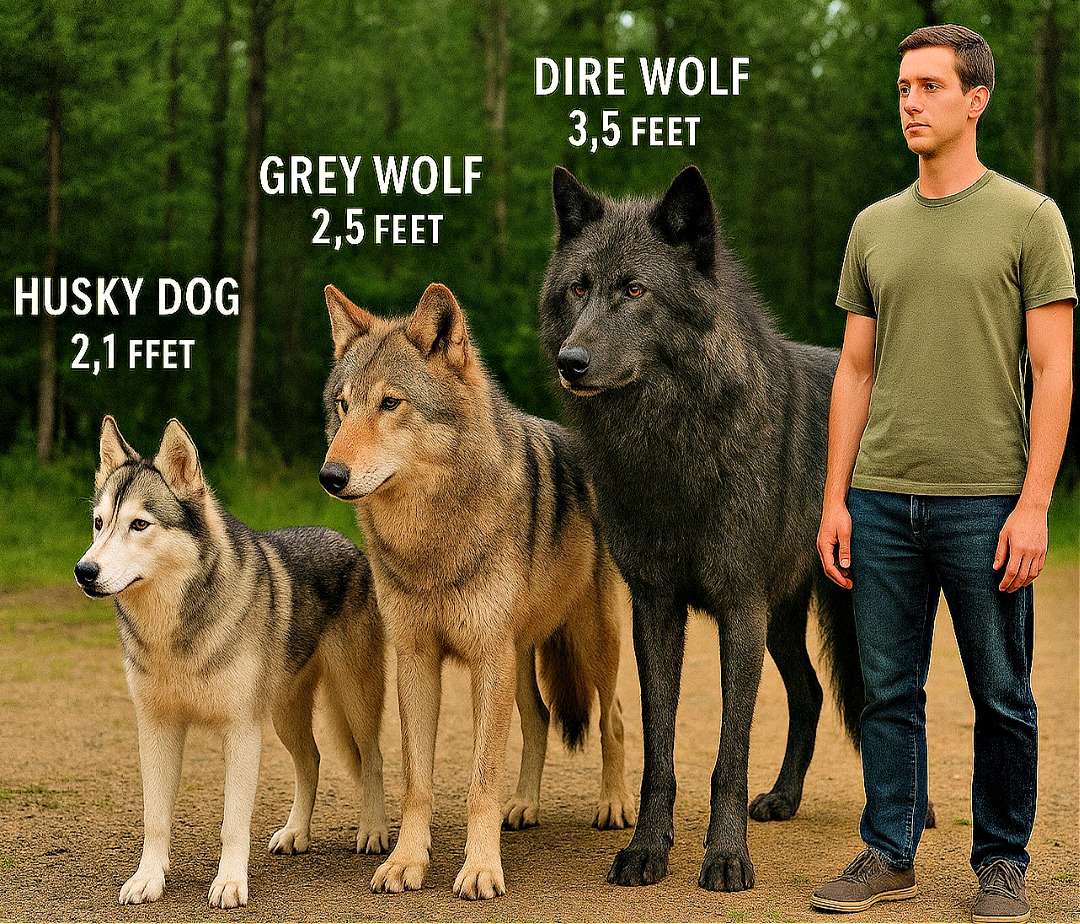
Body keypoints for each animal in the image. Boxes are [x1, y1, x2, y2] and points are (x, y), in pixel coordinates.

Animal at [74, 416, 389, 909]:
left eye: (139, 524)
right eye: (99, 524)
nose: (84, 572)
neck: (173, 633)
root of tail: (345, 541)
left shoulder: (241, 732)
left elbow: (233, 823)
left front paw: (229, 883)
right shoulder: (156, 728)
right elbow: (154, 818)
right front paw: (148, 879)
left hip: (353, 700)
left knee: (372, 758)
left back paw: (373, 831)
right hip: (283, 716)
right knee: (312, 760)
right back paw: (295, 833)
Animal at [318, 282, 636, 900]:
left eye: (390, 404)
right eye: (343, 406)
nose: (330, 476)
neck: (430, 542)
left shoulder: (487, 659)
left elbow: (480, 782)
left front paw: (481, 868)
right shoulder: (417, 658)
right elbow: (418, 781)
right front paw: (405, 862)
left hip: (591, 644)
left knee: (611, 718)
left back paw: (615, 805)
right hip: (521, 656)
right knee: (539, 719)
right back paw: (525, 806)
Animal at [537, 166, 866, 893]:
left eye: (635, 289)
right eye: (578, 288)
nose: (571, 361)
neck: (673, 449)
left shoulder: (738, 609)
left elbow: (728, 754)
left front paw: (725, 858)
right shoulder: (656, 607)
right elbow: (659, 751)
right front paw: (645, 852)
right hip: (782, 619)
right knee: (809, 695)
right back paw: (784, 799)